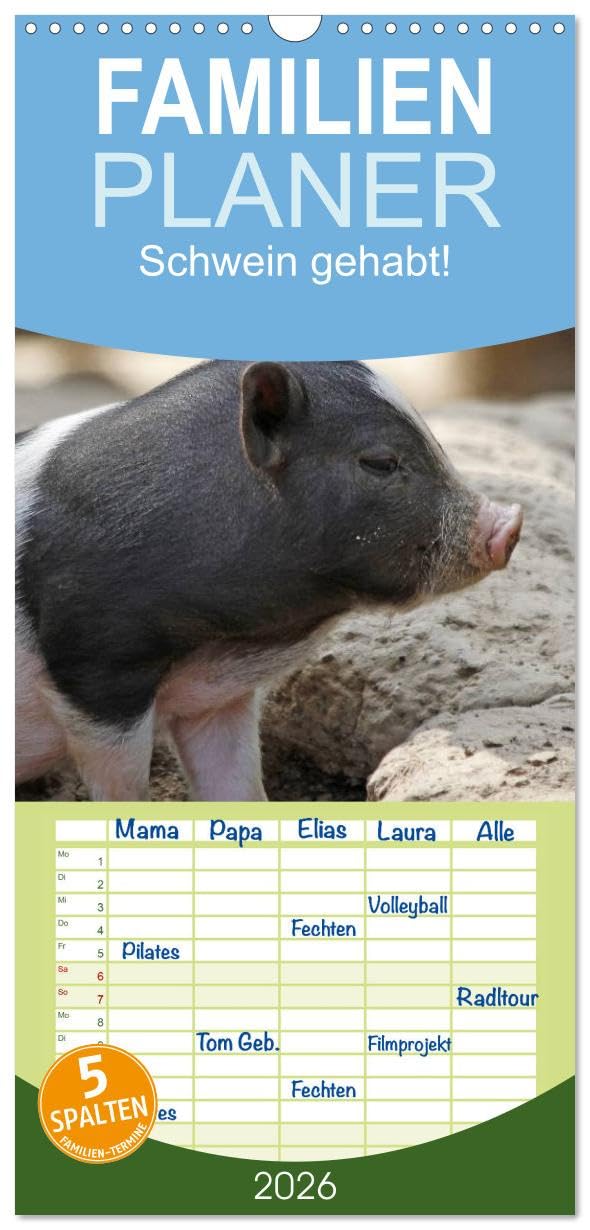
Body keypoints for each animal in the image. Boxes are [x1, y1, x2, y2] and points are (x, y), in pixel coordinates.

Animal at [16, 360, 522, 801]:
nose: (511, 523)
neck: (221, 646)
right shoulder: (95, 668)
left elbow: (238, 787)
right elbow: (122, 790)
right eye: (380, 461)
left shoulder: (214, 697)